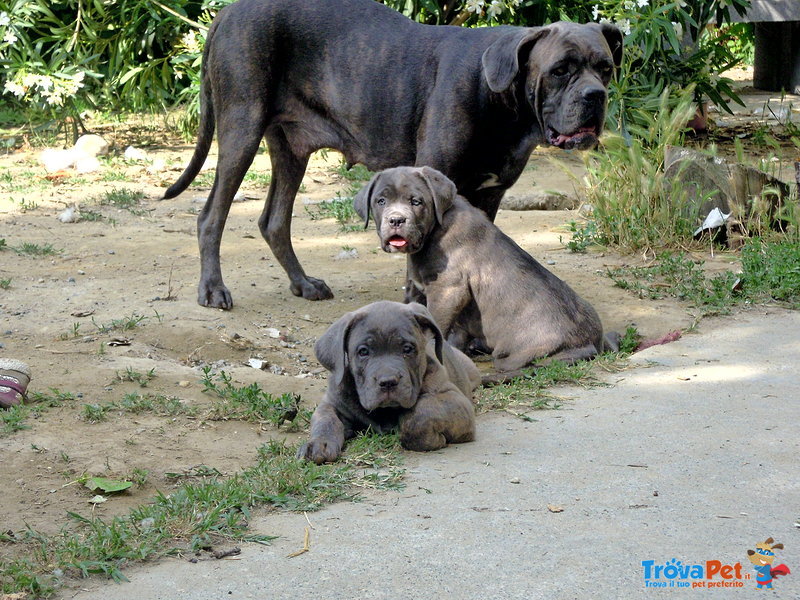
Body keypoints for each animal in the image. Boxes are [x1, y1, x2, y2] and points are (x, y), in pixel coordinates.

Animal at [164, 0, 624, 310]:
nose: (595, 96)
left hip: (291, 147)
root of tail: (227, 12)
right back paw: (213, 290)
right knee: (211, 216)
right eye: (561, 70)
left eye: (605, 68)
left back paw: (304, 283)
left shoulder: (488, 196)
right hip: (241, 129)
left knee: (274, 221)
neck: (501, 100)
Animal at [296, 300, 478, 464]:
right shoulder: (333, 403)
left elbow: (420, 413)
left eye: (407, 349)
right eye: (363, 351)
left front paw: (428, 438)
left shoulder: (456, 400)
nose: (388, 382)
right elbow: (325, 420)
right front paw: (318, 444)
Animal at [354, 166, 616, 372]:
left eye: (416, 201)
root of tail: (589, 345)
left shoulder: (448, 289)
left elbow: (434, 323)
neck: (433, 231)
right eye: (381, 201)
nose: (396, 220)